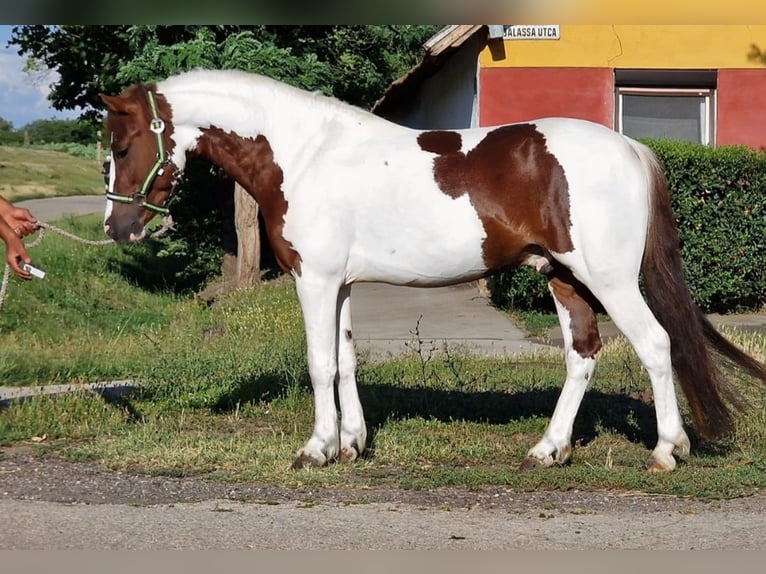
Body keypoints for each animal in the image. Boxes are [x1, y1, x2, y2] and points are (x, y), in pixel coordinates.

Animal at [100, 68, 766, 472]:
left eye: (123, 147)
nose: (118, 228)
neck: (306, 154)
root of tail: (630, 146)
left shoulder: (314, 279)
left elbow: (319, 364)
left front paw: (316, 449)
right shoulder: (341, 284)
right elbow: (346, 360)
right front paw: (353, 443)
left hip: (609, 280)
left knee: (655, 344)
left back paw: (666, 451)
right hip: (565, 278)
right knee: (582, 354)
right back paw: (547, 449)